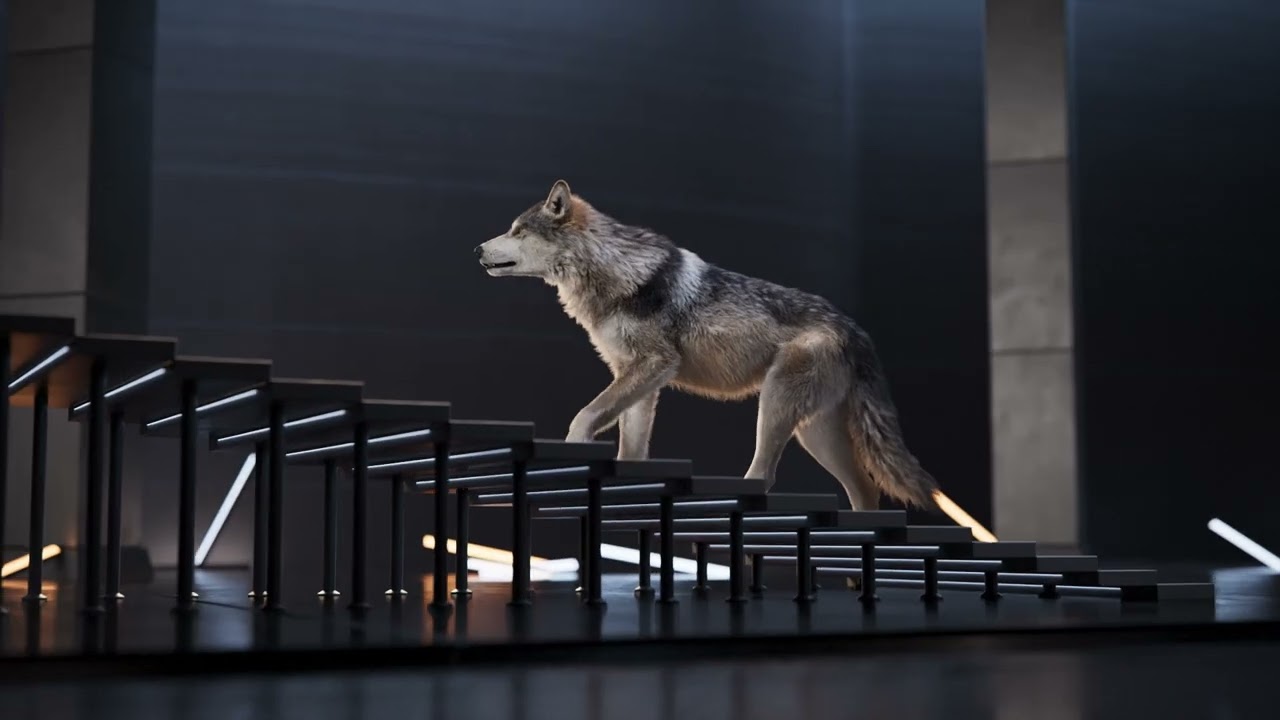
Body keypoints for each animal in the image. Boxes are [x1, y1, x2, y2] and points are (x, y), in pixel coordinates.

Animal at [475, 180, 938, 510]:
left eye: (517, 230)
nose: (477, 247)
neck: (612, 271)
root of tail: (856, 329)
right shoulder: (639, 380)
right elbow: (631, 451)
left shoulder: (655, 365)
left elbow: (583, 418)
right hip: (814, 433)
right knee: (866, 490)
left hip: (775, 408)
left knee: (766, 476)